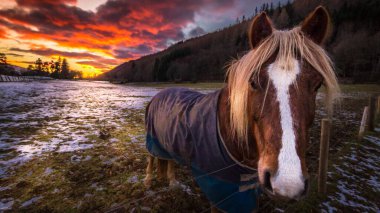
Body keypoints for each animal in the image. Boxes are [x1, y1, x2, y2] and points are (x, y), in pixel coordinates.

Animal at [142, 5, 338, 212]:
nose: (287, 183)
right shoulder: (219, 193)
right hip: (153, 141)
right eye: (253, 82)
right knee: (151, 158)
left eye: (317, 84)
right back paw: (147, 180)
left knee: (169, 162)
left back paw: (172, 182)